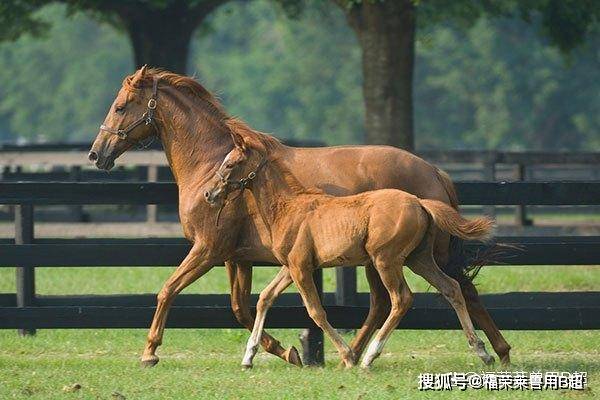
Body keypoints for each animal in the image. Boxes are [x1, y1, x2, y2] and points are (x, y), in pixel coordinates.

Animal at [206, 138, 496, 368]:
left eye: (230, 164)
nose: (209, 193)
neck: (290, 207)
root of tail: (419, 202)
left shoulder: (300, 267)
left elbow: (316, 311)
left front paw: (346, 355)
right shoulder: (292, 267)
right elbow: (265, 298)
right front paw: (248, 357)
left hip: (386, 260)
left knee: (401, 299)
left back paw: (368, 357)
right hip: (419, 259)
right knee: (452, 288)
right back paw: (483, 352)